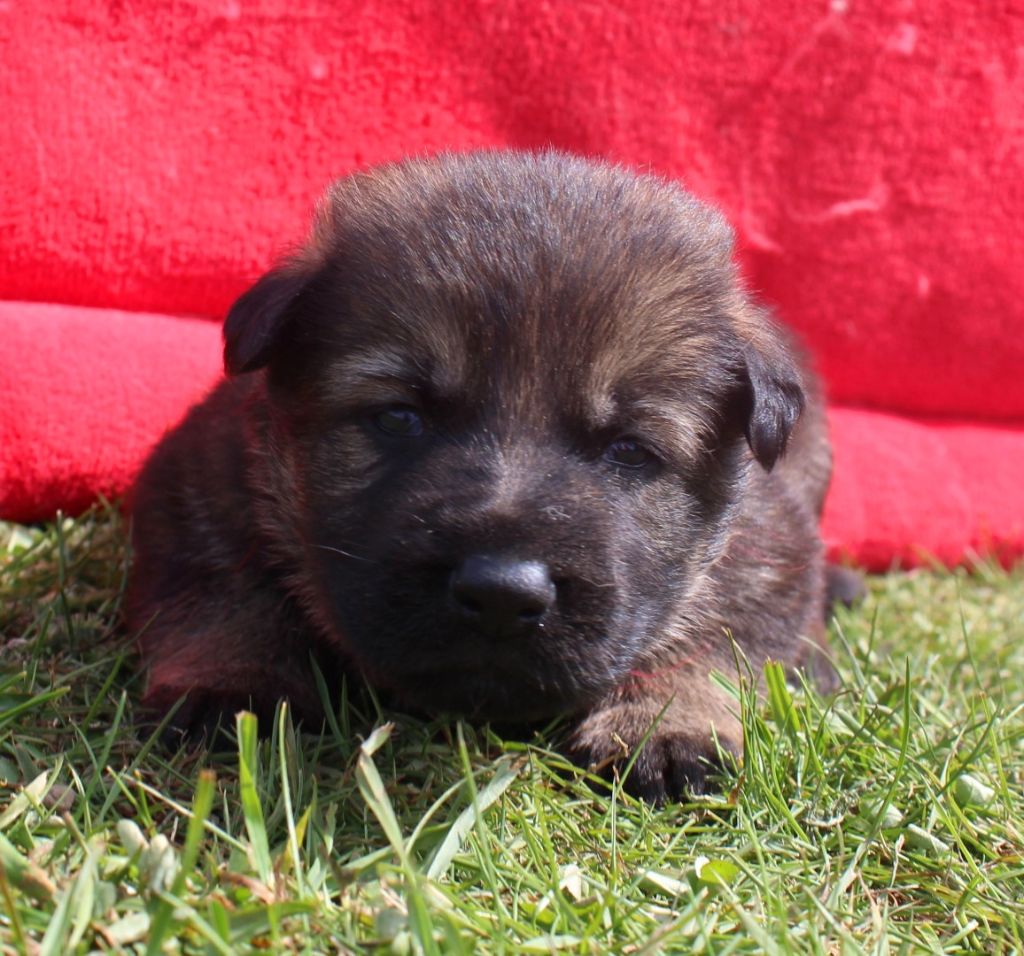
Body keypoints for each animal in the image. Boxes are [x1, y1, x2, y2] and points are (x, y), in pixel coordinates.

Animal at [128, 153, 835, 806]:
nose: (501, 593)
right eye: (399, 417)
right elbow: (226, 593)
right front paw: (232, 690)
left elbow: (717, 641)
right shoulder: (203, 485)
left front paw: (666, 724)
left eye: (630, 451)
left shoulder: (769, 548)